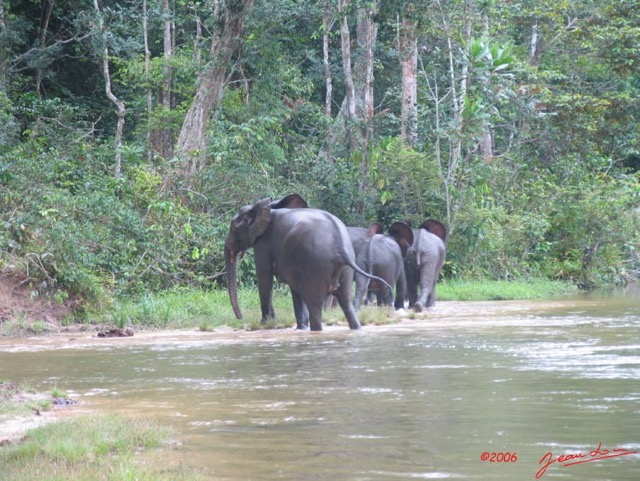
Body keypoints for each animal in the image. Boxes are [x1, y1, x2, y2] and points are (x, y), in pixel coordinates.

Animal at [225, 192, 390, 330]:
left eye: (233, 227)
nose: (241, 317)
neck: (267, 208)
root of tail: (342, 247)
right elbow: (293, 288)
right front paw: (299, 328)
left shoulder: (263, 244)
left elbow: (264, 278)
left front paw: (266, 323)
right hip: (344, 269)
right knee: (345, 300)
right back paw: (355, 328)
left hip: (317, 264)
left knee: (315, 305)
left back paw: (316, 330)